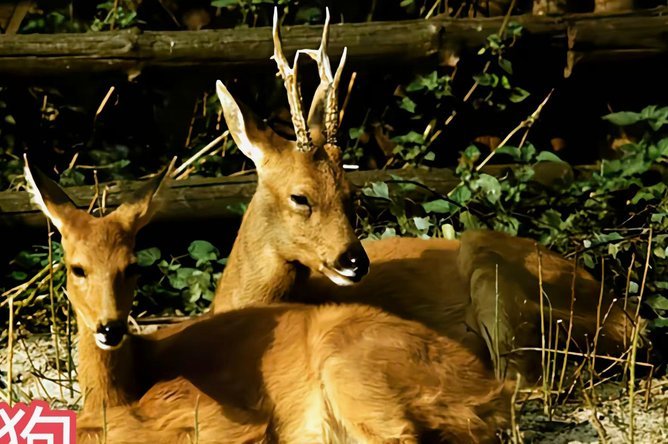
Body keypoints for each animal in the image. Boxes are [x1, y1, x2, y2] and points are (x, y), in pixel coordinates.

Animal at [25, 153, 511, 442]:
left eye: (132, 266)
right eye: (77, 267)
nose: (108, 327)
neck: (121, 389)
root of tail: (491, 394)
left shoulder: (214, 417)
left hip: (355, 372)